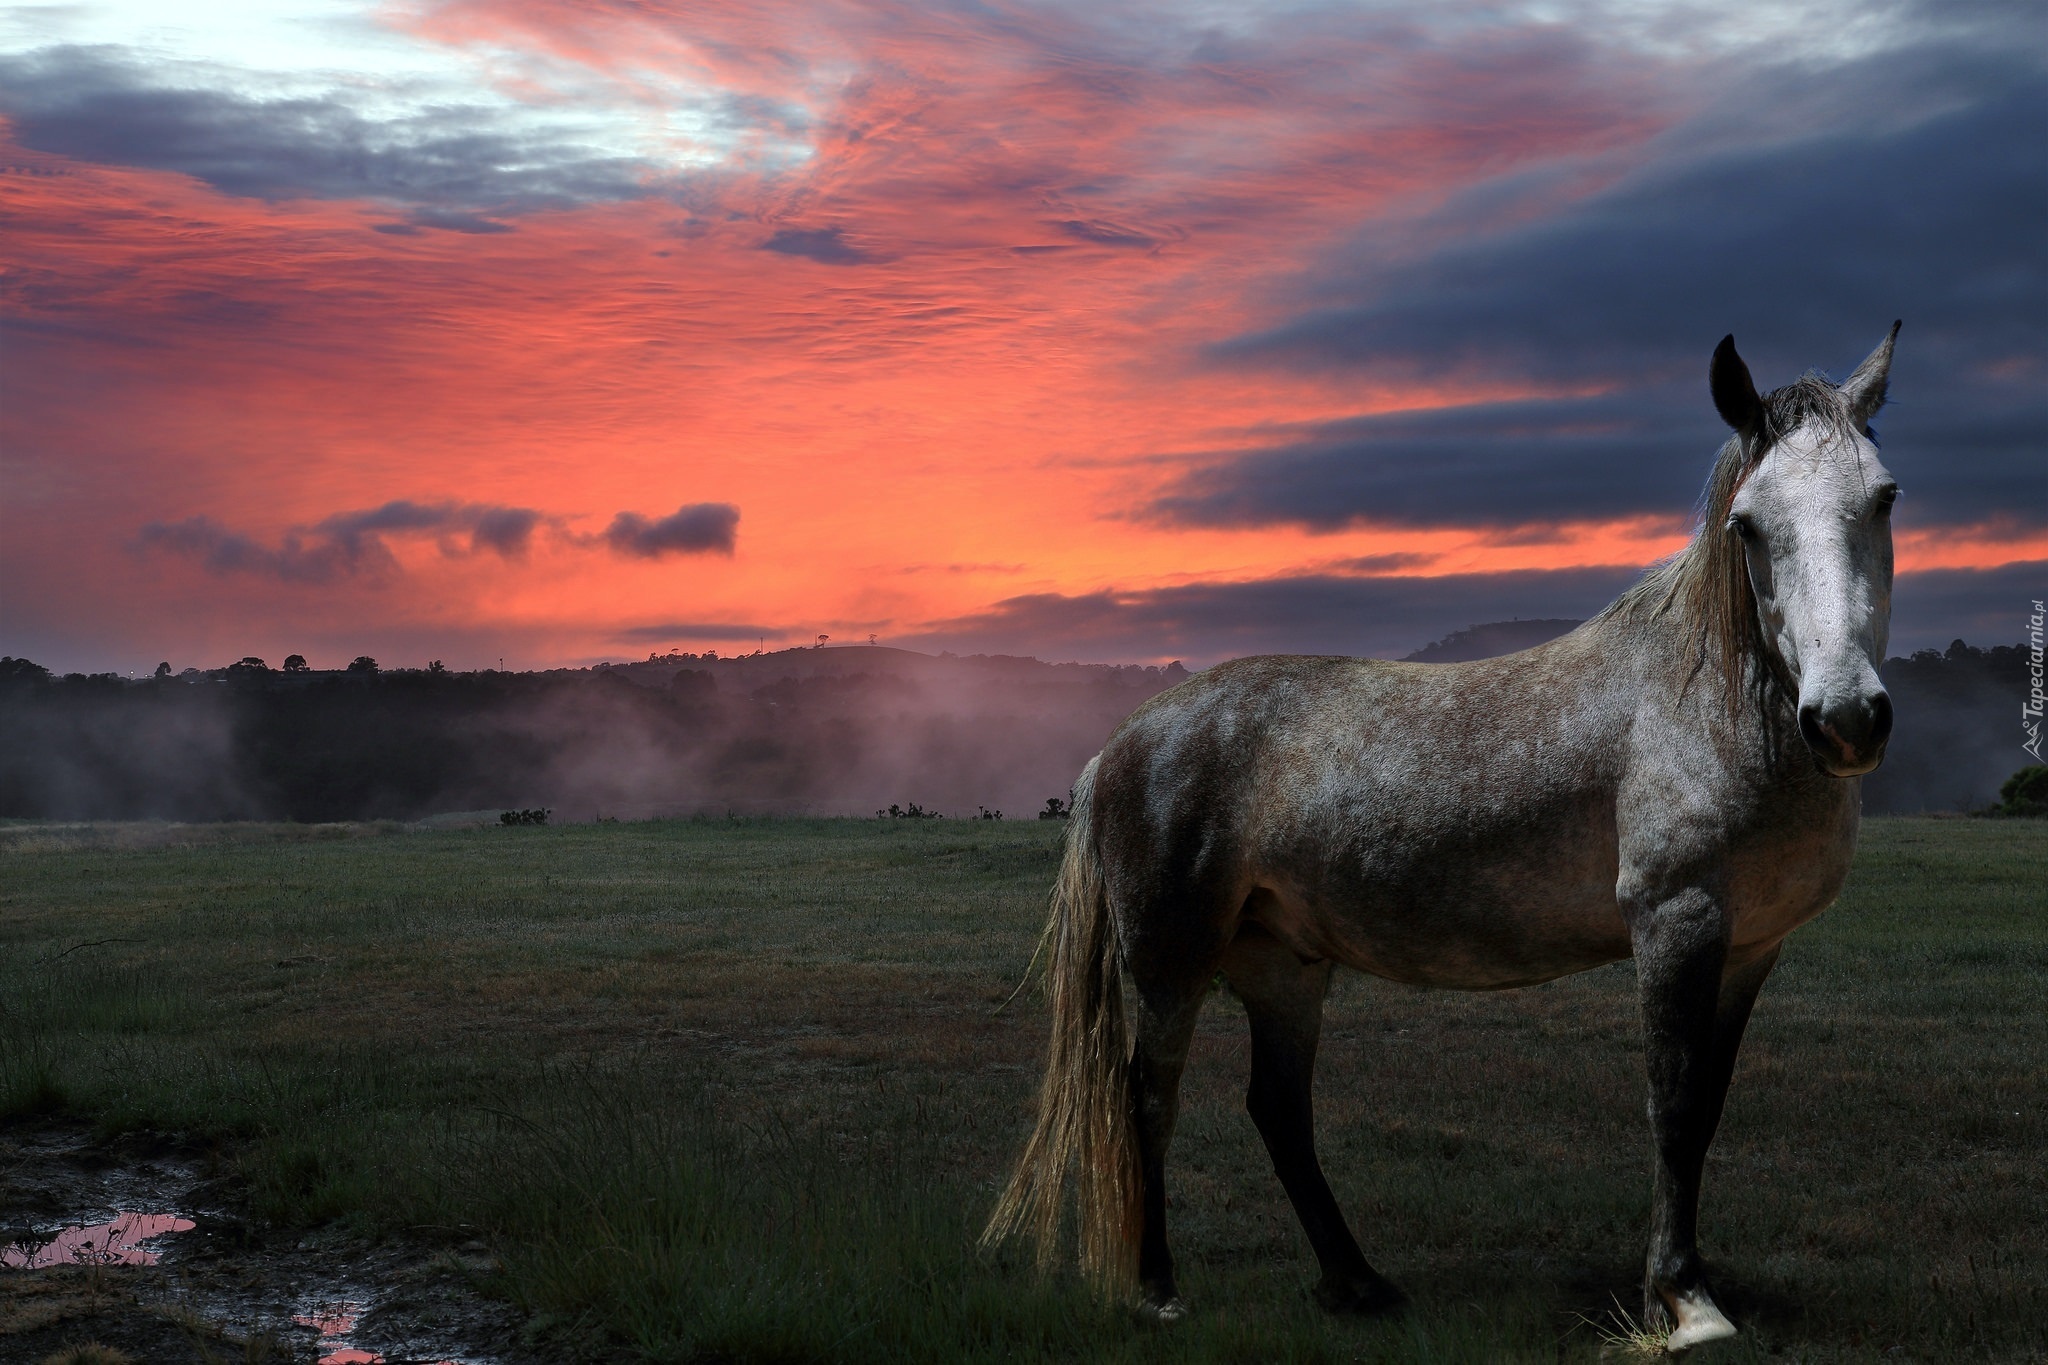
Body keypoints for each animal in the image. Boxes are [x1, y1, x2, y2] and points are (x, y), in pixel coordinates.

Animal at [983, 325, 1892, 1350]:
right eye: (1748, 525)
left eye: (1884, 497)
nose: (1847, 718)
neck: (1705, 699)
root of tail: (1120, 744)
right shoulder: (1676, 923)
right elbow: (1672, 1102)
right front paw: (1684, 1299)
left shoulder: (1748, 948)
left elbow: (1703, 1110)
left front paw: (1690, 1281)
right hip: (1174, 963)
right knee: (1150, 1098)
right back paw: (1158, 1287)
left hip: (1282, 967)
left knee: (1278, 1110)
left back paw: (1357, 1281)